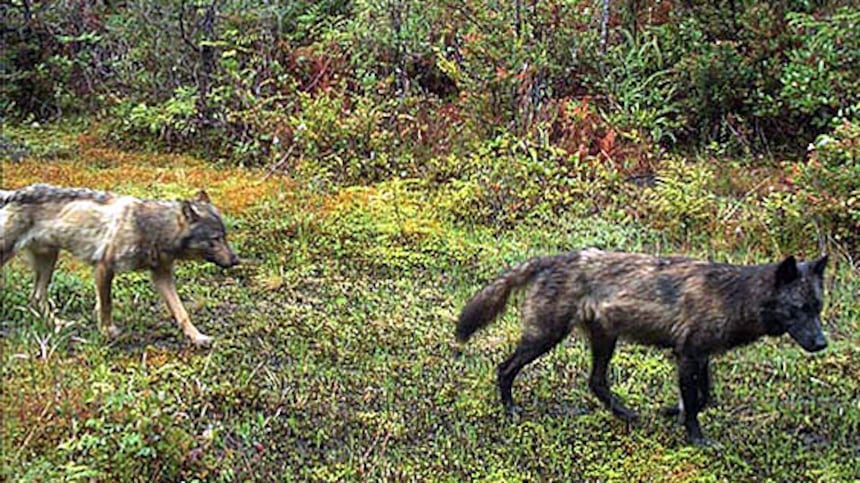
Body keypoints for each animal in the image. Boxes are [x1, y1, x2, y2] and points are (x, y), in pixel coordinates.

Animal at [1, 184, 240, 346]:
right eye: (216, 239)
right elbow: (107, 305)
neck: (153, 228)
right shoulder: (104, 268)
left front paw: (197, 337)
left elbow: (181, 313)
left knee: (37, 297)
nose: (236, 260)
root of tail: (14, 193)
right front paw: (107, 333)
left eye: (225, 236)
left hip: (49, 262)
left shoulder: (162, 276)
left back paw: (59, 324)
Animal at [456, 248, 829, 445]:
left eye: (818, 308)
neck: (734, 297)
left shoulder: (700, 356)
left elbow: (704, 397)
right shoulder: (687, 356)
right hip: (545, 338)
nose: (822, 343)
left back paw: (626, 414)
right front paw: (696, 438)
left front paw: (672, 411)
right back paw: (509, 410)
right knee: (504, 368)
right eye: (798, 309)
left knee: (596, 382)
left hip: (604, 340)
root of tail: (551, 258)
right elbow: (696, 405)